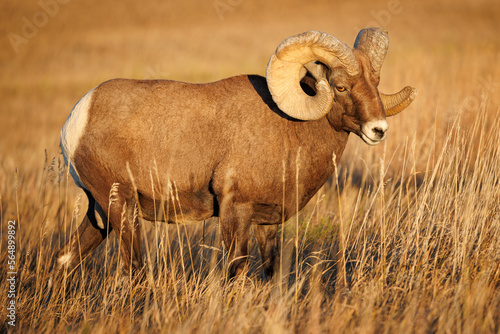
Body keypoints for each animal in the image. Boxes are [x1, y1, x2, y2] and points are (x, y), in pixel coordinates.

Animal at [47, 27, 414, 294]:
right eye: (339, 87)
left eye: (375, 84)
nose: (378, 130)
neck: (289, 128)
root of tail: (77, 120)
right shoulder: (235, 210)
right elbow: (236, 269)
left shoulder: (266, 222)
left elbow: (270, 271)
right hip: (123, 209)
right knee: (132, 270)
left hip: (100, 214)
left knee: (66, 258)